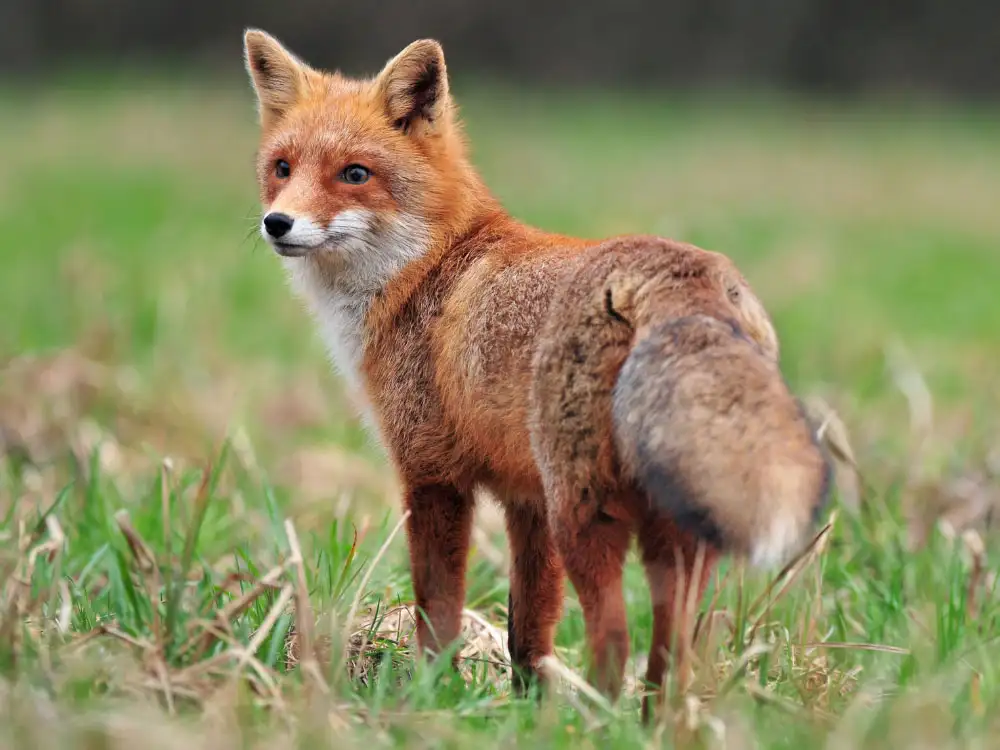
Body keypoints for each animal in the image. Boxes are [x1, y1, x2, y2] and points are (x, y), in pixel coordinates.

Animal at [242, 29, 831, 717]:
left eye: (355, 174)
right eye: (282, 168)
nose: (277, 223)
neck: (428, 269)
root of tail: (680, 273)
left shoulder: (433, 475)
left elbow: (438, 610)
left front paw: (431, 698)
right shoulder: (526, 497)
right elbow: (529, 626)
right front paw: (523, 708)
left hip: (588, 515)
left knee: (613, 638)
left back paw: (599, 724)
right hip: (668, 529)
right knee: (672, 650)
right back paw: (655, 723)